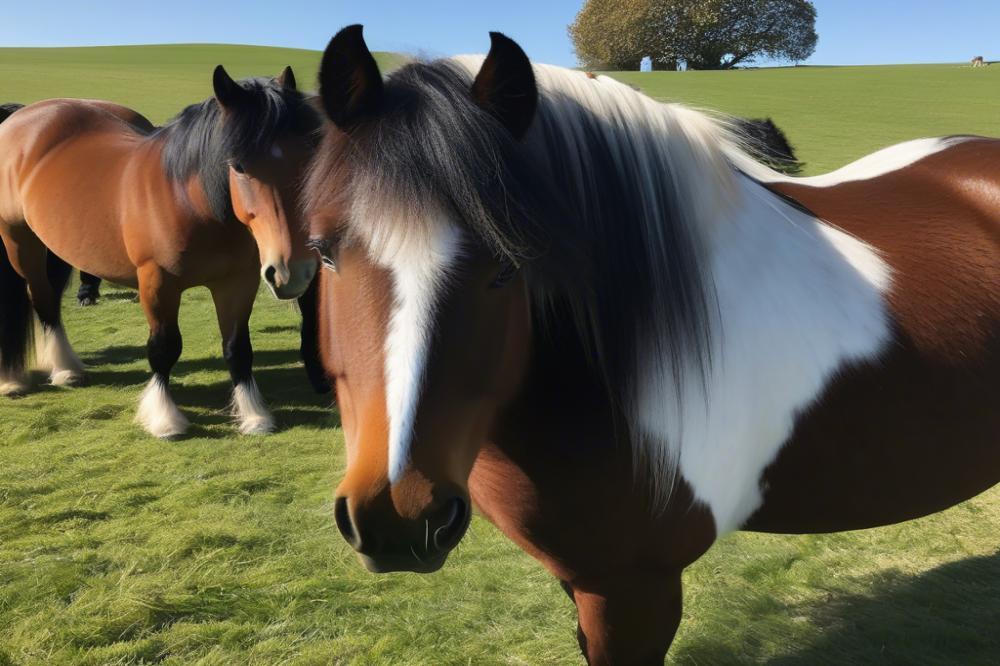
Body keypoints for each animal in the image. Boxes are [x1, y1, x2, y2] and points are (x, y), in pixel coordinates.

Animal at [0, 68, 324, 436]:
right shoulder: (157, 284)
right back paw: (38, 374)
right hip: (18, 241)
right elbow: (164, 347)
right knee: (40, 298)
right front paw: (165, 418)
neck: (192, 204)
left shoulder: (237, 283)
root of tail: (24, 115)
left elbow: (238, 348)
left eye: (309, 158)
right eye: (239, 166)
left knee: (50, 300)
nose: (293, 271)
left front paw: (254, 416)